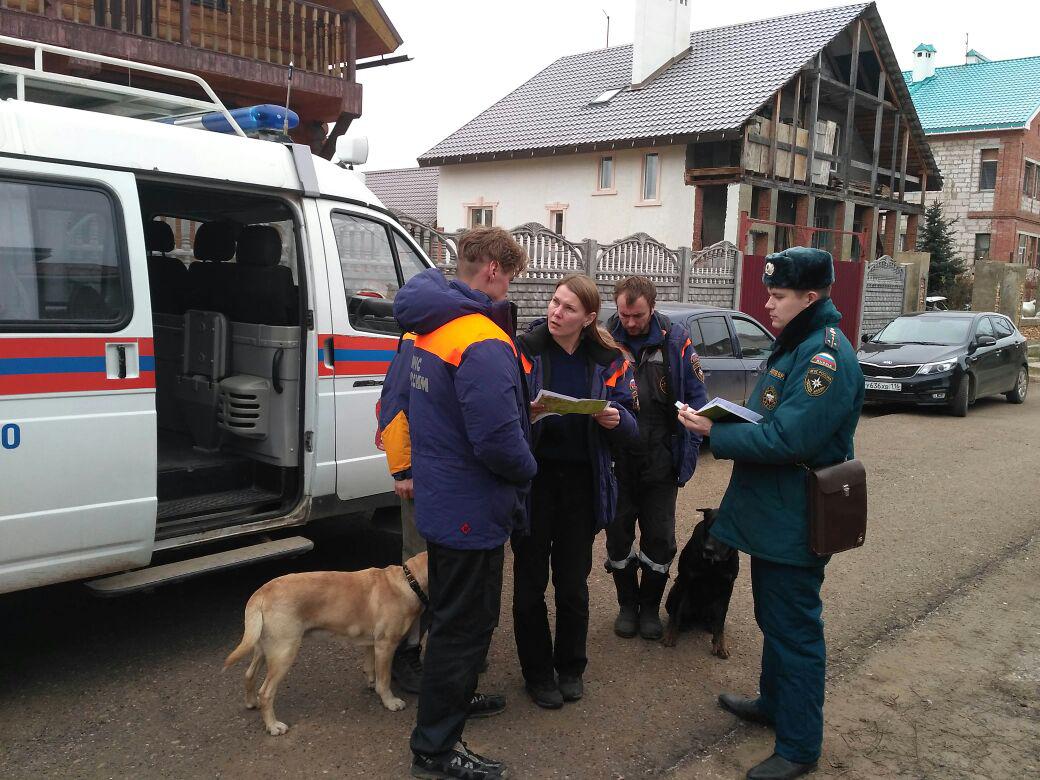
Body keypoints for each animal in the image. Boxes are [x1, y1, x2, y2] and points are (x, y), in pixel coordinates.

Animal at [222, 549, 426, 740]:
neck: (408, 581)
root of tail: (262, 592)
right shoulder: (386, 645)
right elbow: (384, 680)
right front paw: (390, 701)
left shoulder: (372, 643)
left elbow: (370, 667)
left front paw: (371, 683)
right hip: (284, 652)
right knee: (266, 693)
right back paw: (273, 726)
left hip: (263, 647)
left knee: (249, 674)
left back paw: (251, 702)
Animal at [661, 509, 736, 657]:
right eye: (708, 528)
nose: (708, 549)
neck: (713, 563)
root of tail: (698, 616)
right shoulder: (685, 581)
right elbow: (676, 613)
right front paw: (670, 635)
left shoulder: (727, 588)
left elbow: (721, 621)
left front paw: (720, 644)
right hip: (675, 590)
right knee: (676, 612)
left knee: (715, 620)